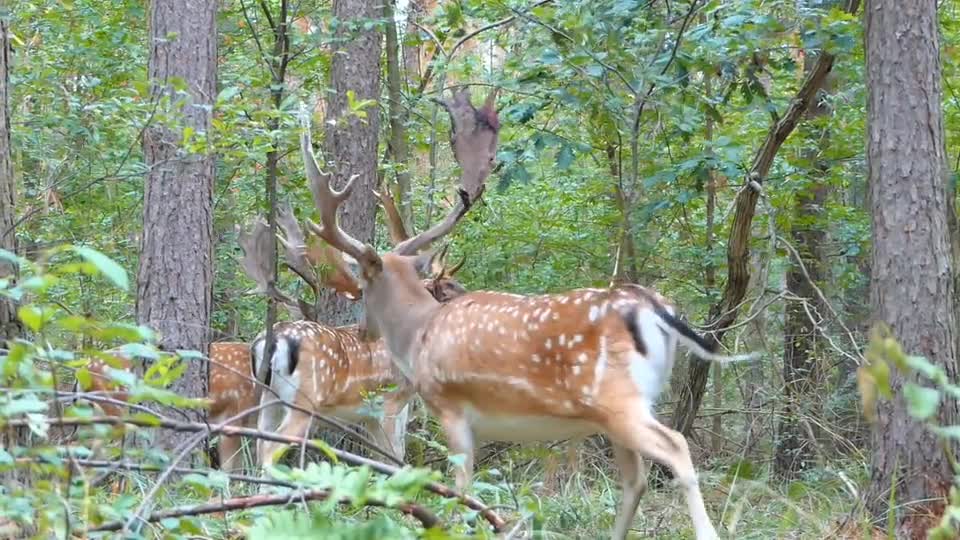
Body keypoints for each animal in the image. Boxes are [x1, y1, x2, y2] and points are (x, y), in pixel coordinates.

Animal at [294, 86, 756, 536]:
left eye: (362, 286)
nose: (363, 331)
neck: (418, 334)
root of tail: (656, 309)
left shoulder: (450, 405)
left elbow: (463, 489)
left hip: (616, 398)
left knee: (675, 447)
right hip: (628, 407)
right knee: (635, 479)